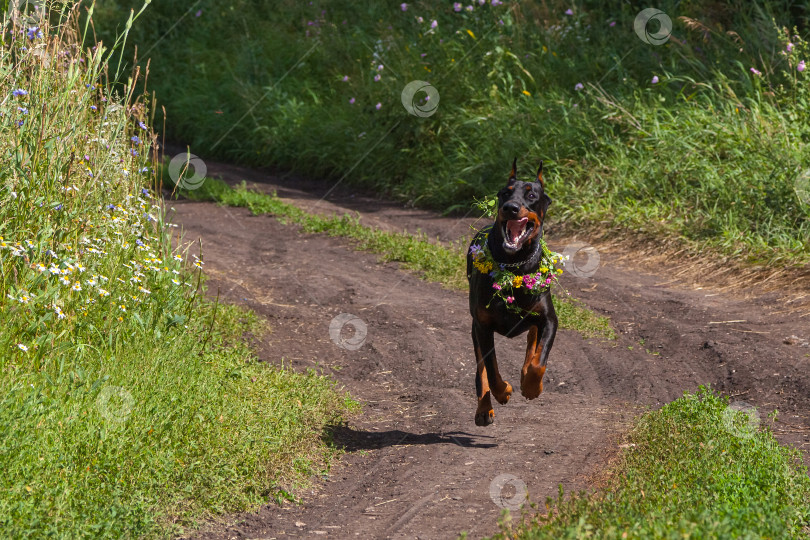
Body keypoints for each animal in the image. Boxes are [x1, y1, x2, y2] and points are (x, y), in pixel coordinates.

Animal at [468, 159, 556, 426]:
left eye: (531, 195)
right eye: (504, 193)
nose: (510, 207)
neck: (515, 263)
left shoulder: (549, 318)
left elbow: (538, 362)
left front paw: (532, 387)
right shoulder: (483, 325)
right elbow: (491, 369)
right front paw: (504, 392)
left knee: (532, 341)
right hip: (475, 326)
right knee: (481, 370)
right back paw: (484, 409)